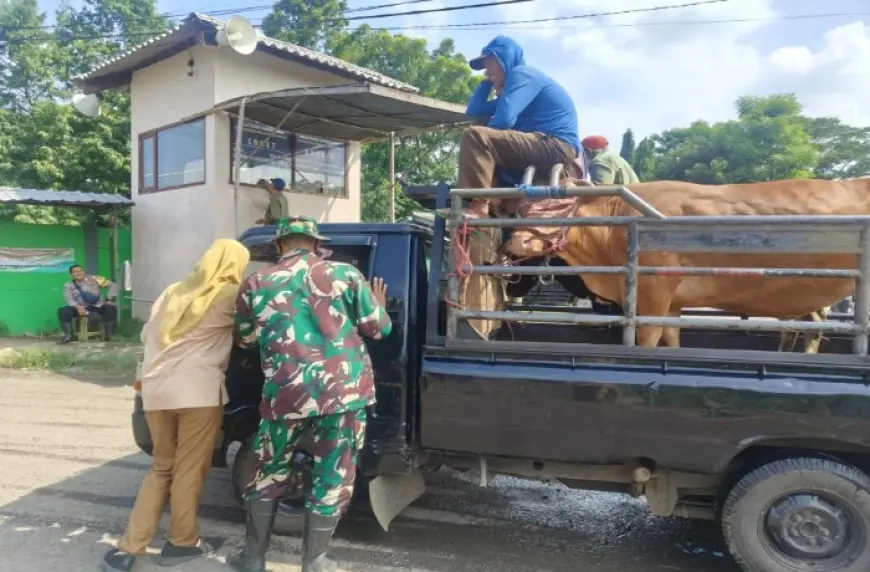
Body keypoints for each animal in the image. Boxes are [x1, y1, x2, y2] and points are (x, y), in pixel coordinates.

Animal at [508, 179, 868, 348]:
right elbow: (672, 338)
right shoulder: (671, 303)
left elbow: (648, 339)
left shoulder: (652, 295)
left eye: (563, 205)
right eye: (525, 208)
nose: (514, 243)